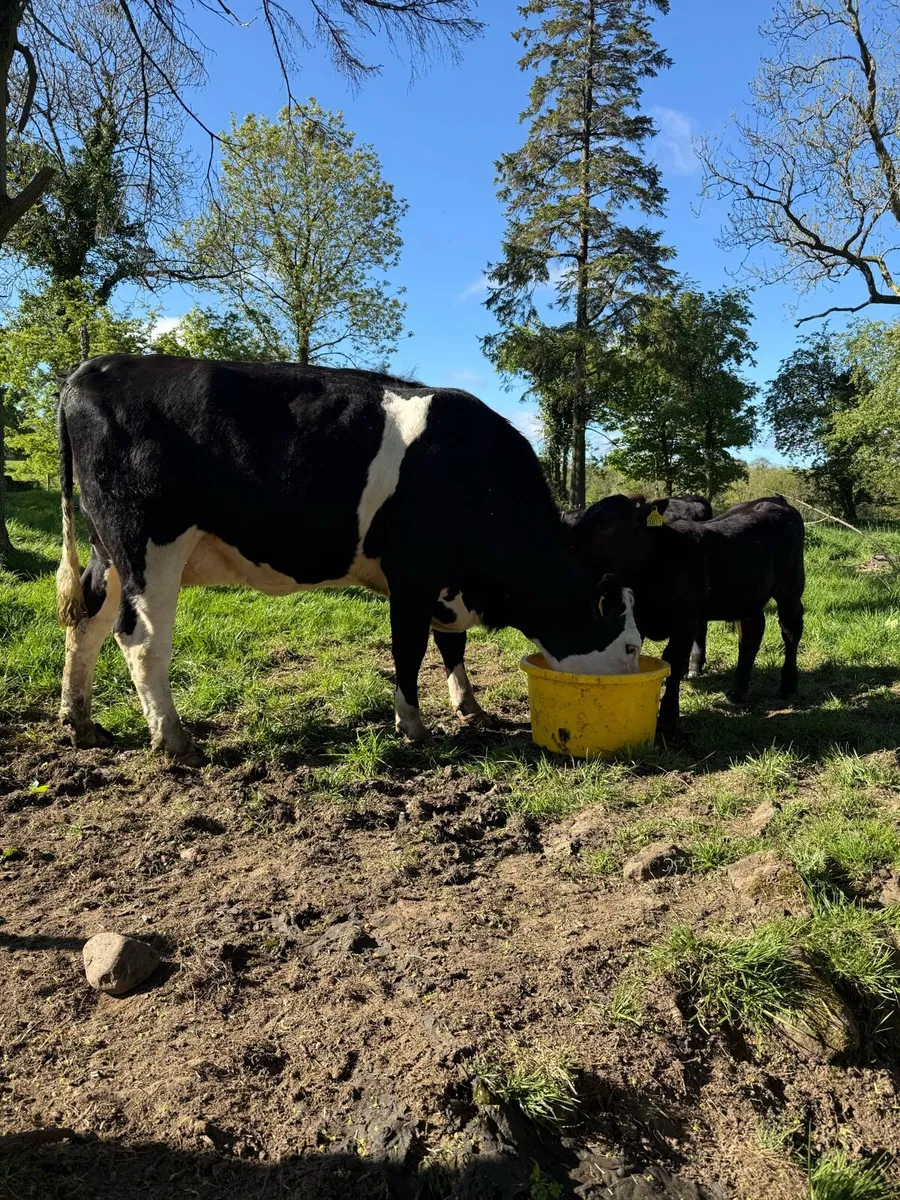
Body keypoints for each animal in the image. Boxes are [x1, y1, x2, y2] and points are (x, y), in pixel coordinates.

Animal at [56, 355, 641, 764]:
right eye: (632, 644)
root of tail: (97, 367)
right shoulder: (413, 576)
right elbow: (409, 649)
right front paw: (414, 727)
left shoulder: (444, 585)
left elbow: (452, 645)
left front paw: (470, 707)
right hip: (148, 546)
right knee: (140, 639)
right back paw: (175, 740)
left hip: (107, 551)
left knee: (87, 622)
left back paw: (80, 723)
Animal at [566, 493, 805, 728]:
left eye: (606, 521)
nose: (568, 543)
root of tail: (775, 499)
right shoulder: (638, 620)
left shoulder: (685, 622)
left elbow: (674, 662)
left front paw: (668, 715)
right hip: (748, 596)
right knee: (751, 634)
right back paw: (736, 693)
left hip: (790, 587)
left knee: (791, 629)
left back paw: (788, 685)